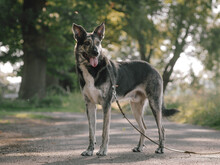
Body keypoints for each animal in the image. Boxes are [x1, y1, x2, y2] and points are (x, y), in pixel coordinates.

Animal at [72, 22, 179, 156]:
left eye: (98, 43)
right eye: (87, 43)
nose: (96, 53)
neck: (92, 70)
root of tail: (154, 68)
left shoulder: (106, 105)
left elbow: (104, 132)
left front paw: (102, 150)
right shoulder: (90, 105)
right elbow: (91, 132)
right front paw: (89, 150)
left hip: (154, 104)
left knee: (162, 129)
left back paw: (160, 148)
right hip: (136, 107)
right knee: (143, 128)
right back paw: (139, 147)